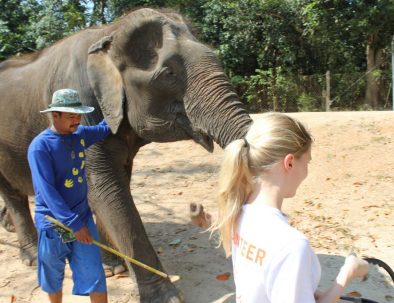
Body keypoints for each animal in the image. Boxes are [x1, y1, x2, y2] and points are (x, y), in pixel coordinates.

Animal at [0, 8, 252, 302]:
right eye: (168, 73)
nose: (197, 207)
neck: (108, 32)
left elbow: (109, 188)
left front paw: (113, 268)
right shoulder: (83, 107)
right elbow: (106, 191)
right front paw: (166, 297)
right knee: (13, 196)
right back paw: (30, 256)